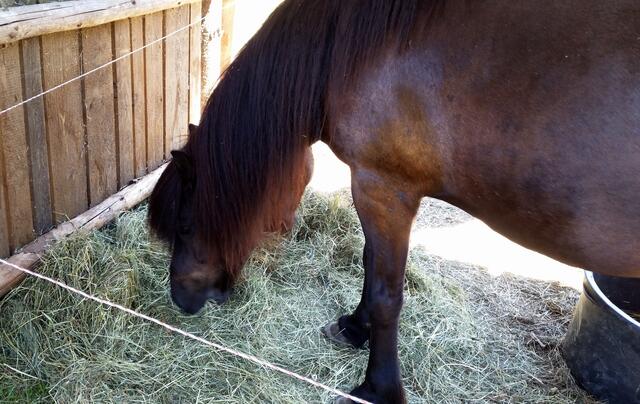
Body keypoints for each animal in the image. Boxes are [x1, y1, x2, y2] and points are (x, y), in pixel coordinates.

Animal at [148, 0, 640, 402]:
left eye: (186, 226)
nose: (179, 299)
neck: (349, 55)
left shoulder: (383, 188)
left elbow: (388, 294)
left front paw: (377, 388)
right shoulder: (375, 191)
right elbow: (369, 262)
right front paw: (354, 327)